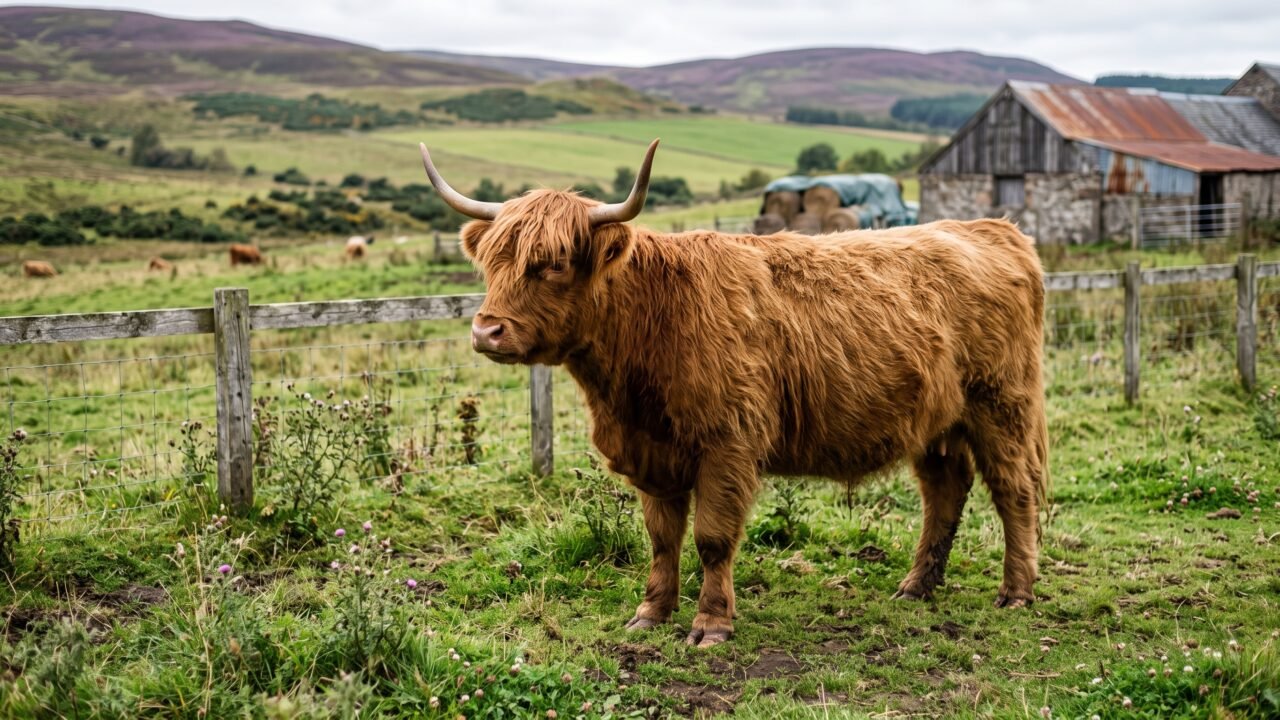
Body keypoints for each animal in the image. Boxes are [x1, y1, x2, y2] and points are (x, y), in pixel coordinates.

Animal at [417, 140, 1049, 647]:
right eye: (490, 261)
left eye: (551, 265)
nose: (486, 330)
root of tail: (992, 228)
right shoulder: (656, 449)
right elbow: (662, 537)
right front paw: (651, 612)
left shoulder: (727, 442)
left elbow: (713, 539)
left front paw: (711, 624)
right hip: (938, 420)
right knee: (945, 491)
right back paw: (917, 586)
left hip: (1001, 405)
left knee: (1013, 491)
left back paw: (1016, 591)